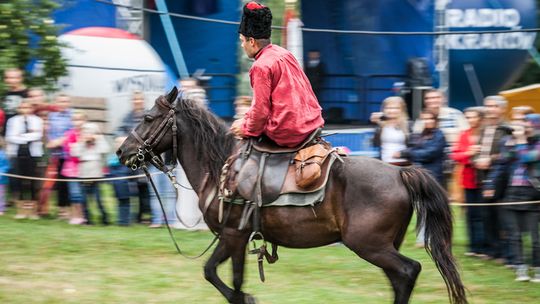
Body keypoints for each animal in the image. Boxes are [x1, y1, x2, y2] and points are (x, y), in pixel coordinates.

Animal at [116, 88, 466, 304]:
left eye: (148, 118)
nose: (122, 151)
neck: (219, 167)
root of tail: (401, 173)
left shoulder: (232, 235)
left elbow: (215, 273)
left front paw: (245, 298)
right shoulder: (238, 238)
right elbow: (229, 276)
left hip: (369, 244)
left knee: (408, 272)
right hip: (382, 246)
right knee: (399, 279)